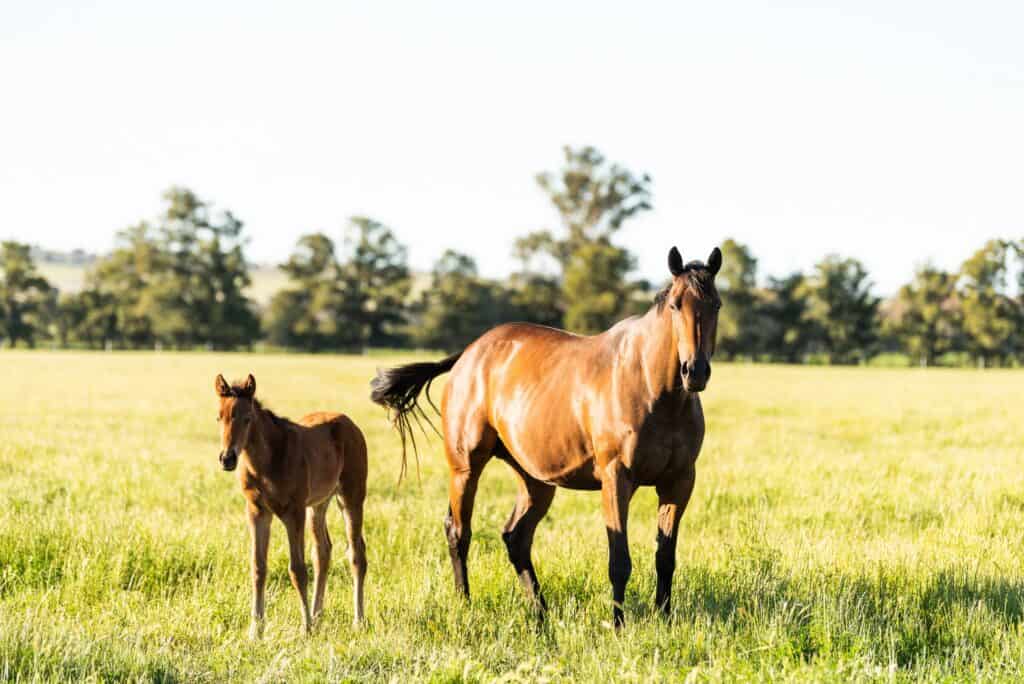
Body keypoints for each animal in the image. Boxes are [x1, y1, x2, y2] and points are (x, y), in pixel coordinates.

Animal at [214, 373, 368, 637]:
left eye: (247, 418)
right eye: (219, 417)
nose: (227, 459)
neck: (267, 462)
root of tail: (350, 423)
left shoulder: (293, 512)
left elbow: (297, 569)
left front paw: (305, 628)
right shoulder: (257, 511)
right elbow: (258, 567)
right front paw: (256, 631)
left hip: (351, 496)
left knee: (356, 553)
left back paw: (357, 621)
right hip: (318, 505)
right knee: (323, 551)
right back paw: (318, 616)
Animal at [370, 245, 721, 627]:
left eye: (716, 305)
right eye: (675, 304)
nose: (695, 371)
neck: (651, 386)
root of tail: (470, 353)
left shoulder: (679, 481)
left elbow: (665, 557)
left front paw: (665, 617)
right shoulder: (616, 477)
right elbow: (619, 561)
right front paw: (618, 626)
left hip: (534, 479)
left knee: (516, 537)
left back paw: (540, 612)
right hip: (465, 467)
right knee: (459, 531)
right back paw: (465, 603)